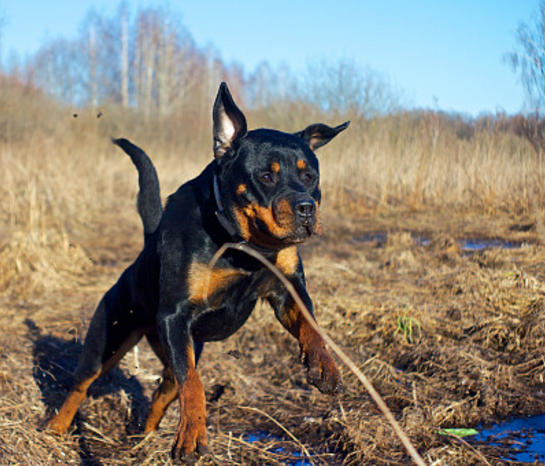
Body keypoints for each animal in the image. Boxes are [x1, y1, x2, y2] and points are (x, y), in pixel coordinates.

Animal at [47, 83, 348, 462]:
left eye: (310, 176)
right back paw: (55, 429)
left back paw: (146, 439)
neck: (245, 246)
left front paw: (325, 365)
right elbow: (194, 384)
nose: (306, 208)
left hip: (177, 348)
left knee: (163, 391)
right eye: (266, 176)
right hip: (112, 338)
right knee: (83, 384)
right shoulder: (175, 316)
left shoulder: (288, 291)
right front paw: (191, 436)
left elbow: (312, 327)